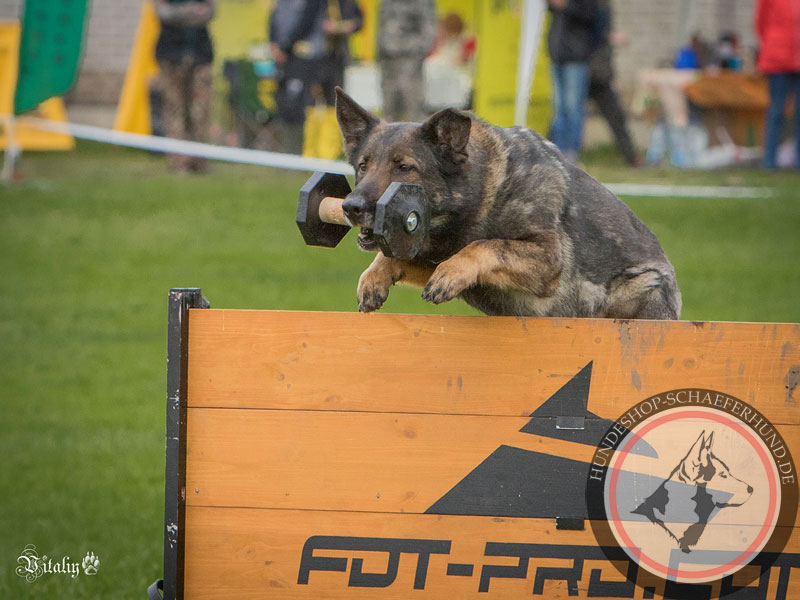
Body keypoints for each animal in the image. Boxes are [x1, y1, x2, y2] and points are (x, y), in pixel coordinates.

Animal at [332, 88, 680, 318]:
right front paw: (376, 275)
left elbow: (486, 245)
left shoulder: (547, 258)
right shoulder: (437, 257)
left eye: (404, 167)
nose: (351, 207)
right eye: (363, 166)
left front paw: (452, 271)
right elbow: (403, 258)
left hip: (642, 288)